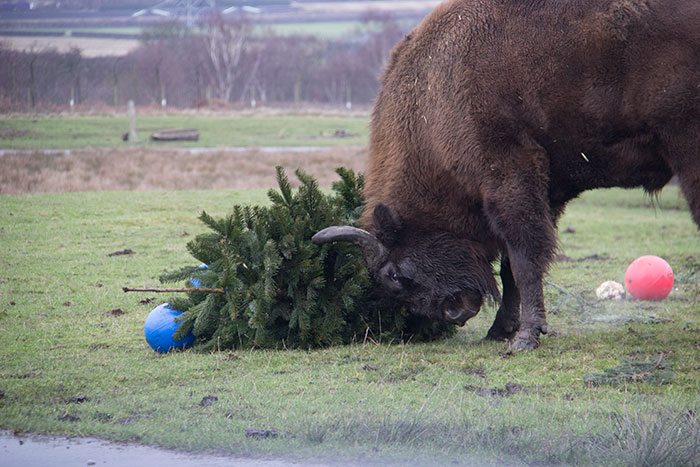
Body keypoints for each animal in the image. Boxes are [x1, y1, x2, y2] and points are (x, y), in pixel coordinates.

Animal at [313, 0, 700, 350]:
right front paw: (501, 330)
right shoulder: (547, 192)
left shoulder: (509, 174)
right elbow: (512, 267)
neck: (435, 86)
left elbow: (524, 258)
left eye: (393, 274)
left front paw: (526, 338)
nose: (453, 312)